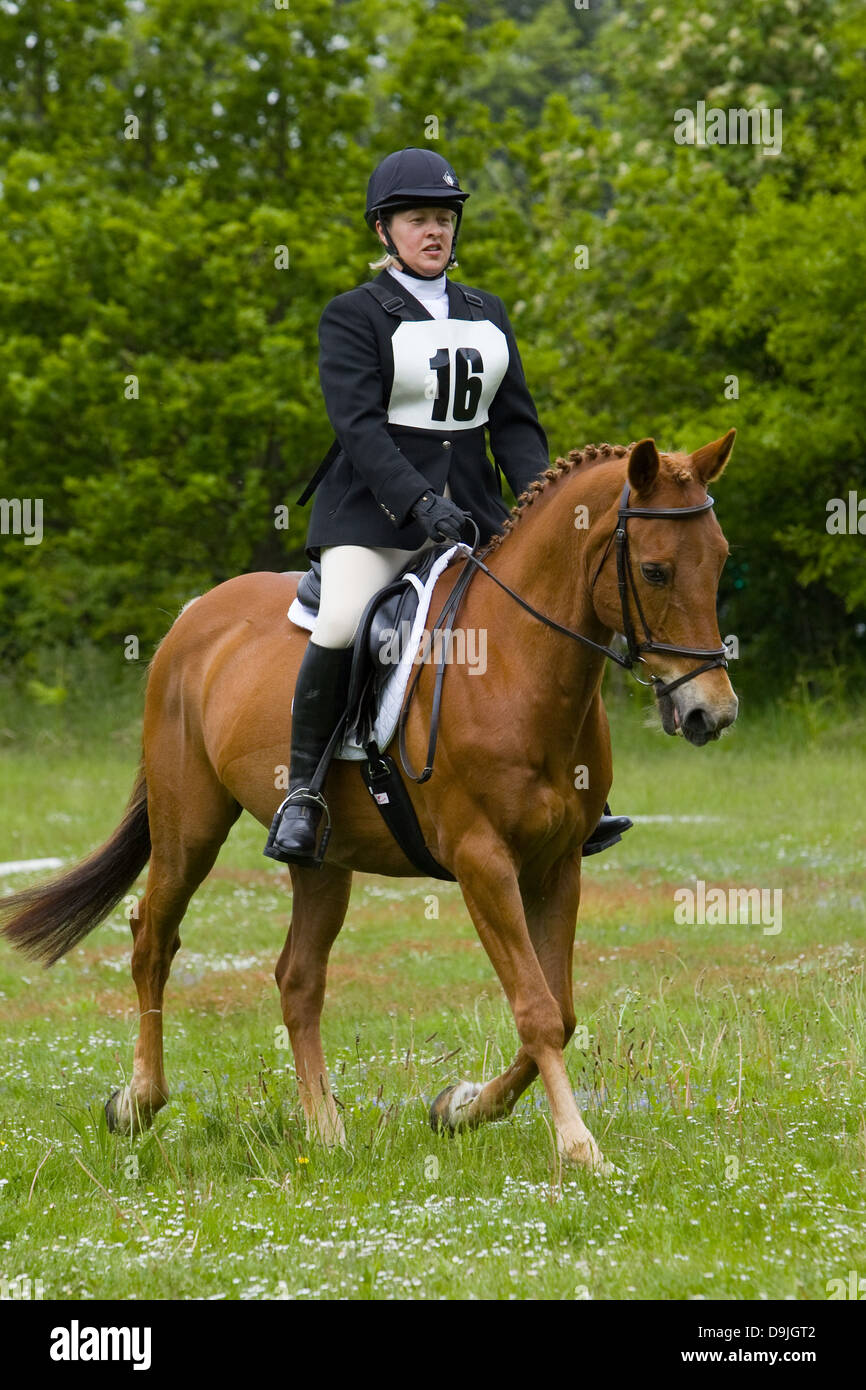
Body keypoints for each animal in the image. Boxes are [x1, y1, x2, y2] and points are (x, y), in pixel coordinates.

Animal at [3, 433, 739, 1173]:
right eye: (654, 572)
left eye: (721, 561)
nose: (712, 713)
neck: (514, 666)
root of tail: (193, 616)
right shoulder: (483, 862)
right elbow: (535, 1008)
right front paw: (579, 1146)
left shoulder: (557, 865)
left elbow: (558, 1011)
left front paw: (462, 1106)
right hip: (190, 828)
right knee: (153, 937)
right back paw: (138, 1102)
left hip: (323, 861)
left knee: (297, 978)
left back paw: (325, 1129)